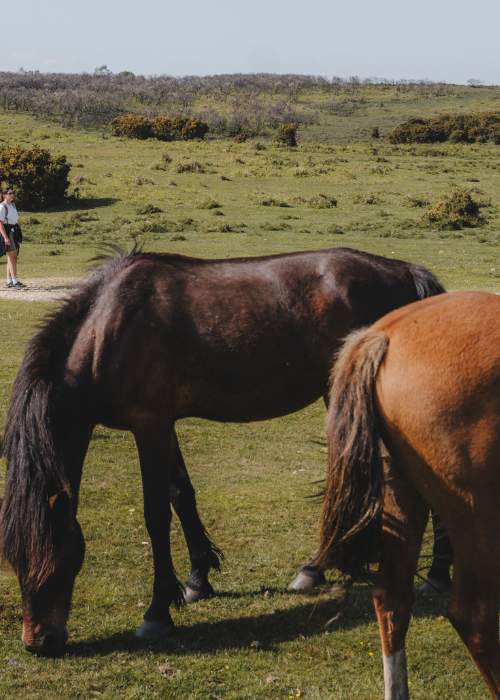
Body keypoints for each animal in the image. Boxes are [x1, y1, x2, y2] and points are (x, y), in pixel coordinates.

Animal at [0, 246, 446, 656]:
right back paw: (319, 568)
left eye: (54, 554)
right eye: (13, 558)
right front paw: (198, 580)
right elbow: (182, 497)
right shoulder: (164, 425)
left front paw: (157, 612)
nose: (37, 642)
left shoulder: (148, 426)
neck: (107, 331)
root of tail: (405, 272)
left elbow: (156, 515)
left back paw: (435, 576)